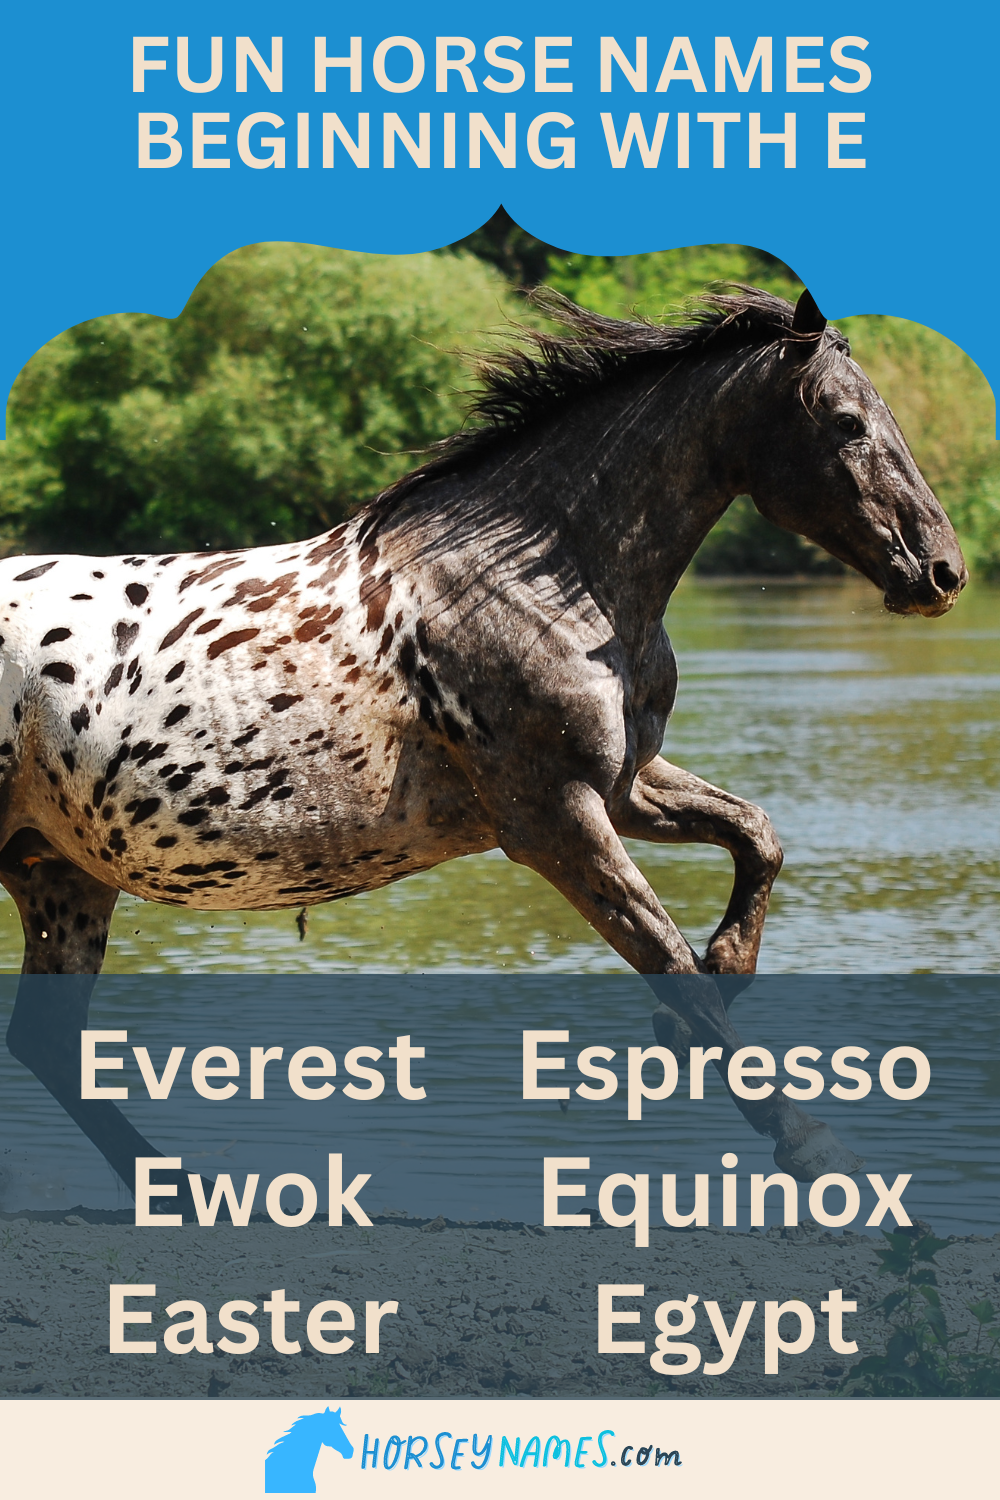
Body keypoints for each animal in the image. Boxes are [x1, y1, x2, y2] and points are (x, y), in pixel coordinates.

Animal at [0, 286, 966, 1195]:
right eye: (845, 422)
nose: (943, 572)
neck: (538, 582)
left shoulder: (623, 785)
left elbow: (756, 837)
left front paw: (728, 966)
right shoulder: (554, 819)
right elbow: (667, 958)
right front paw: (820, 1154)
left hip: (62, 875)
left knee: (47, 1043)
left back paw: (184, 1189)